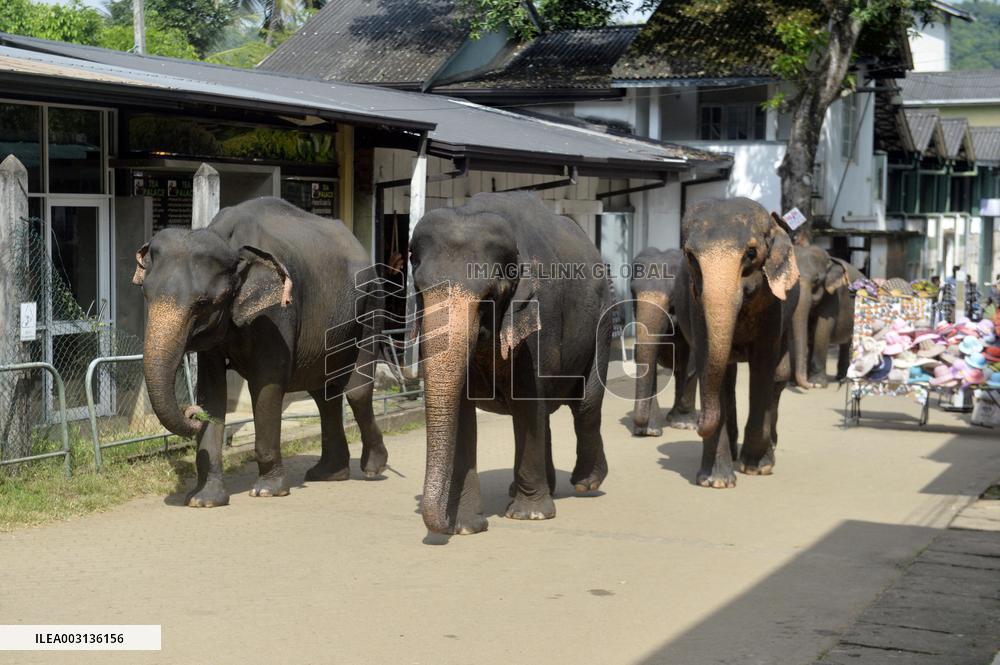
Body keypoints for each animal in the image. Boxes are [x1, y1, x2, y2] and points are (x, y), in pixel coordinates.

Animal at [133, 197, 388, 507]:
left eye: (203, 303)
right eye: (146, 295)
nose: (193, 414)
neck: (229, 242)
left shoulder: (278, 313)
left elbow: (267, 382)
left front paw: (268, 491)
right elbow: (212, 389)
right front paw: (203, 500)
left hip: (370, 304)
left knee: (356, 391)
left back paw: (373, 469)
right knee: (323, 392)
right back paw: (328, 474)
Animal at [410, 192, 611, 535]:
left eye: (489, 296)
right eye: (420, 290)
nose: (441, 524)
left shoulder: (541, 317)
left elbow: (528, 400)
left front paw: (530, 515)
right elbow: (462, 411)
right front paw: (464, 526)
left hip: (604, 319)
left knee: (585, 407)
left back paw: (586, 483)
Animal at [629, 247, 698, 435]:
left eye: (674, 298)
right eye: (632, 293)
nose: (639, 429)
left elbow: (690, 359)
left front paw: (685, 425)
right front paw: (650, 431)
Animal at [673, 198, 800, 489]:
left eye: (751, 253)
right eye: (690, 256)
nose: (696, 424)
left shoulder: (772, 306)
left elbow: (763, 367)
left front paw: (754, 467)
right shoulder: (696, 305)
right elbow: (709, 362)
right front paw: (715, 481)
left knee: (778, 377)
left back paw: (764, 456)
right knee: (727, 378)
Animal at [790, 243, 862, 388]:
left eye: (816, 280)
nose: (808, 385)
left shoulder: (833, 295)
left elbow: (822, 328)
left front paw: (817, 383)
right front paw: (794, 382)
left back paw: (844, 379)